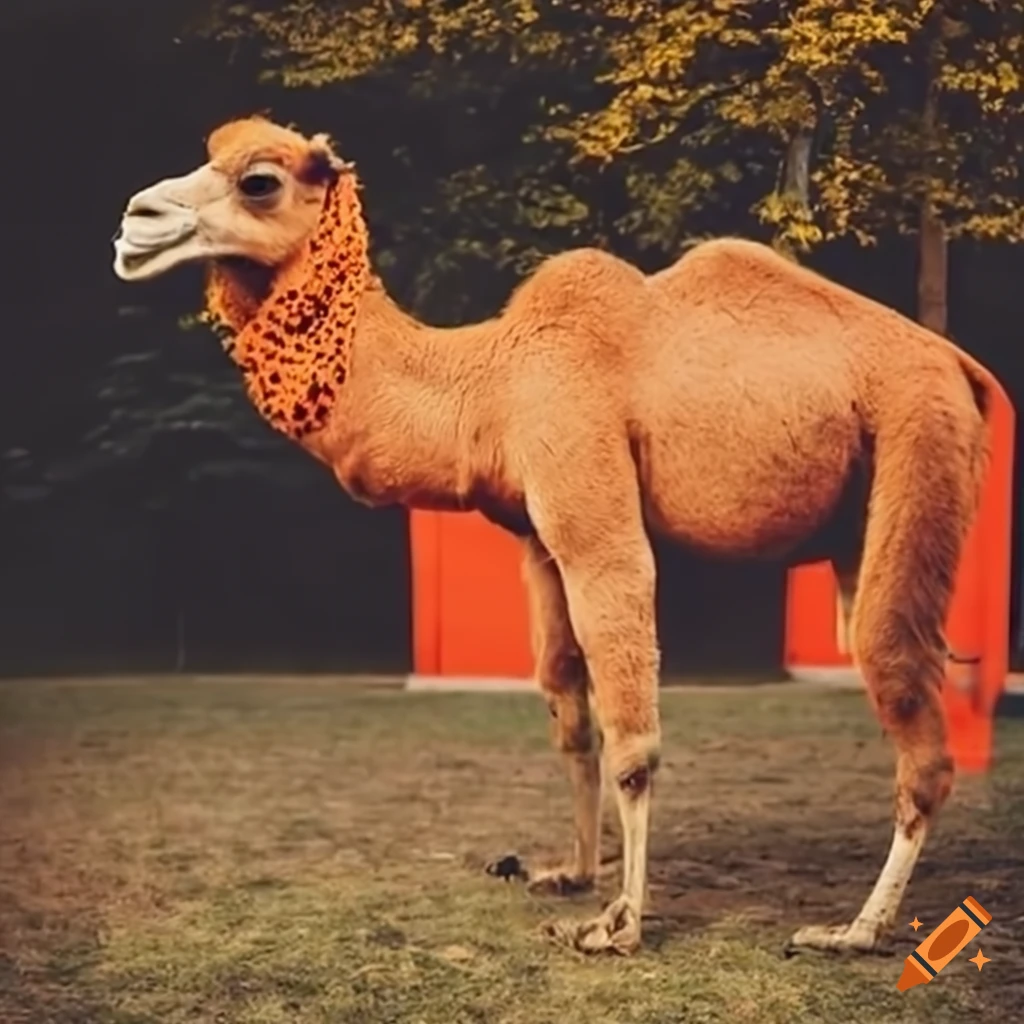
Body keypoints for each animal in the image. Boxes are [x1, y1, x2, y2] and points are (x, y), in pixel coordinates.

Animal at [111, 116, 995, 958]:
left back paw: (855, 931)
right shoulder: (537, 537)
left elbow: (631, 731)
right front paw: (568, 871)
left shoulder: (589, 497)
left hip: (919, 433)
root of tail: (962, 367)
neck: (485, 382)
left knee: (902, 691)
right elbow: (569, 711)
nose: (134, 221)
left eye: (259, 180)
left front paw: (621, 923)